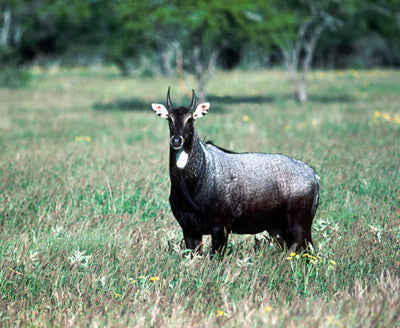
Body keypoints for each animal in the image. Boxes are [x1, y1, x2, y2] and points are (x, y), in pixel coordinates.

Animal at [152, 87, 320, 254]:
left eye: (190, 119)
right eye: (169, 119)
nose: (176, 140)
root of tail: (314, 176)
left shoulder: (220, 227)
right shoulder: (189, 229)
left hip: (300, 225)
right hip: (277, 229)